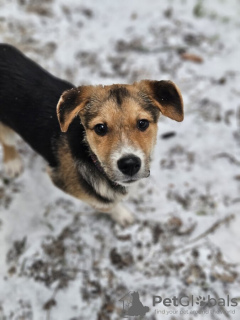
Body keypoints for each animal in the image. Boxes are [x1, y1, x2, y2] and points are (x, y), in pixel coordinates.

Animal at [0, 43, 184, 226]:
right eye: (100, 128)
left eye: (143, 123)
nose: (130, 164)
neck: (91, 157)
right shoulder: (63, 181)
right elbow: (105, 204)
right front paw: (122, 214)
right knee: (6, 141)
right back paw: (13, 163)